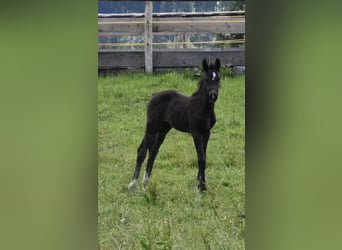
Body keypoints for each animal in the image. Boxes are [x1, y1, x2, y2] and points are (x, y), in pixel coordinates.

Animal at [129, 58, 222, 191]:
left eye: (218, 78)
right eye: (207, 79)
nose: (213, 95)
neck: (202, 108)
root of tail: (154, 95)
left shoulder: (206, 133)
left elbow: (203, 157)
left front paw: (201, 185)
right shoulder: (196, 133)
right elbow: (201, 158)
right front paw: (201, 187)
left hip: (163, 129)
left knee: (153, 152)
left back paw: (145, 184)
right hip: (152, 126)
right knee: (142, 151)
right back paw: (133, 184)